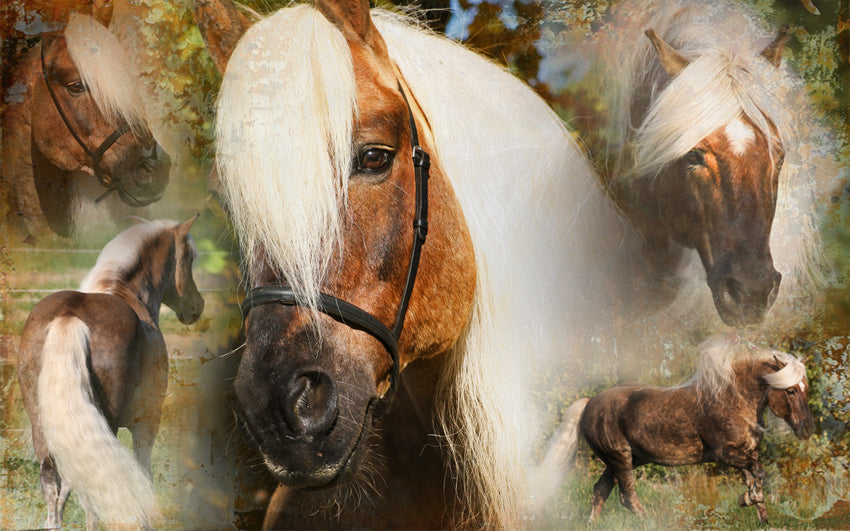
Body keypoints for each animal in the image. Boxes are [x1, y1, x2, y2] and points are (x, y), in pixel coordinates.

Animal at [16, 217, 204, 529]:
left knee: (53, 485)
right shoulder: (147, 423)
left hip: (42, 428)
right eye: (189, 256)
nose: (197, 307)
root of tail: (69, 317)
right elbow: (144, 471)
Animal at [536, 338, 815, 524]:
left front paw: (760, 515)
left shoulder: (747, 453)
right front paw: (748, 499)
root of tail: (590, 402)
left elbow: (755, 478)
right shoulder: (725, 454)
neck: (732, 400)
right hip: (620, 458)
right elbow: (758, 472)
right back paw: (649, 521)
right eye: (790, 390)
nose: (807, 430)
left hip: (624, 460)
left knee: (600, 491)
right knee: (627, 497)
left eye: (806, 388)